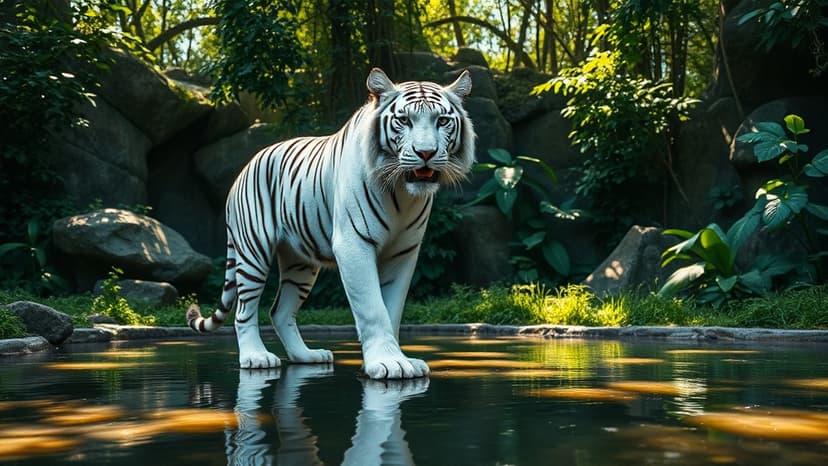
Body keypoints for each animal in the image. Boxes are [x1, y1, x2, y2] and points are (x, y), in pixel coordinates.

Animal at [187, 68, 475, 379]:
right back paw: (256, 357)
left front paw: (397, 359)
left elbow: (392, 309)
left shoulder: (403, 253)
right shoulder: (354, 245)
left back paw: (306, 355)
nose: (426, 153)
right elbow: (373, 308)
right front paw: (388, 362)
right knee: (244, 309)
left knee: (280, 311)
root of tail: (246, 167)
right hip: (254, 251)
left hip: (299, 264)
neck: (400, 191)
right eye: (404, 120)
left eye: (442, 121)